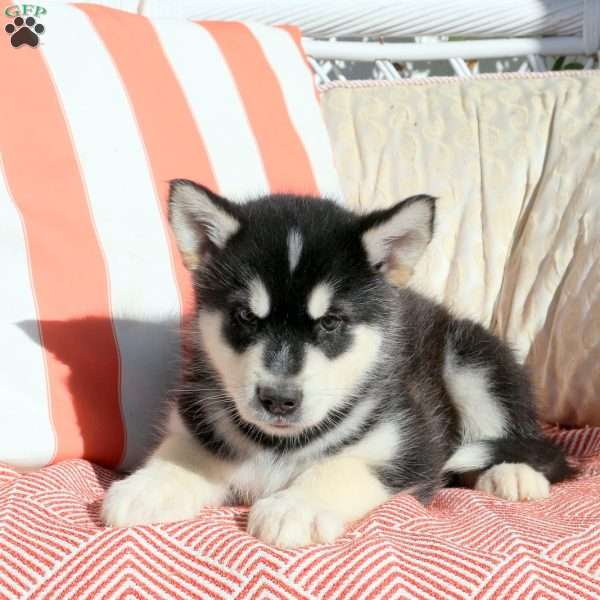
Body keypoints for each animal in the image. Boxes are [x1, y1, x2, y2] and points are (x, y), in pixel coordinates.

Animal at [102, 179, 572, 548]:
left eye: (330, 323)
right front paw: (149, 485)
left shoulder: (410, 445)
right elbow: (186, 452)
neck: (279, 445)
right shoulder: (200, 418)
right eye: (246, 317)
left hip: (474, 364)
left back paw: (514, 474)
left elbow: (344, 466)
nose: (278, 400)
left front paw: (296, 506)